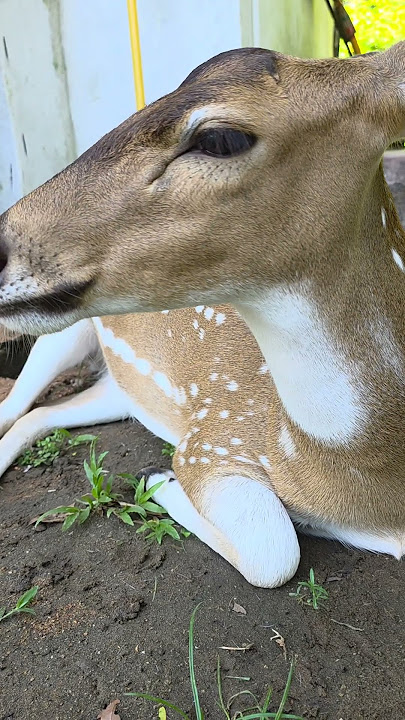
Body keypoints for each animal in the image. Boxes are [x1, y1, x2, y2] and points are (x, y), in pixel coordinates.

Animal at [0, 43, 404, 588]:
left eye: (219, 138)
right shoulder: (211, 437)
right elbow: (275, 553)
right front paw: (160, 479)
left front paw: (157, 481)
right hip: (61, 336)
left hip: (121, 389)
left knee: (42, 414)